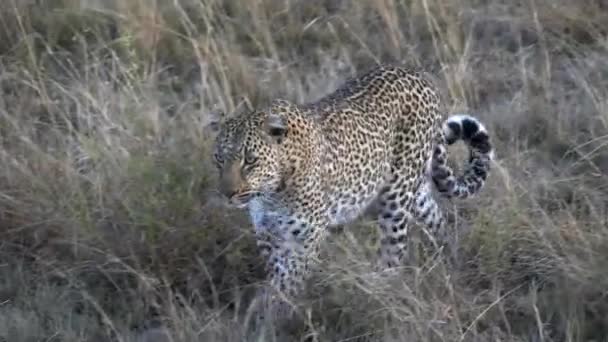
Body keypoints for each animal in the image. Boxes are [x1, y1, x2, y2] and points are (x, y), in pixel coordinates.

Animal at [209, 63, 494, 318]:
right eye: (219, 159)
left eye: (250, 160)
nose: (227, 193)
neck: (271, 192)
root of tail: (420, 75)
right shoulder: (269, 237)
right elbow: (278, 278)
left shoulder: (306, 238)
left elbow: (286, 283)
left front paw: (268, 314)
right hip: (415, 193)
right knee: (437, 221)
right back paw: (448, 259)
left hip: (396, 199)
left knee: (394, 252)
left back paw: (379, 291)